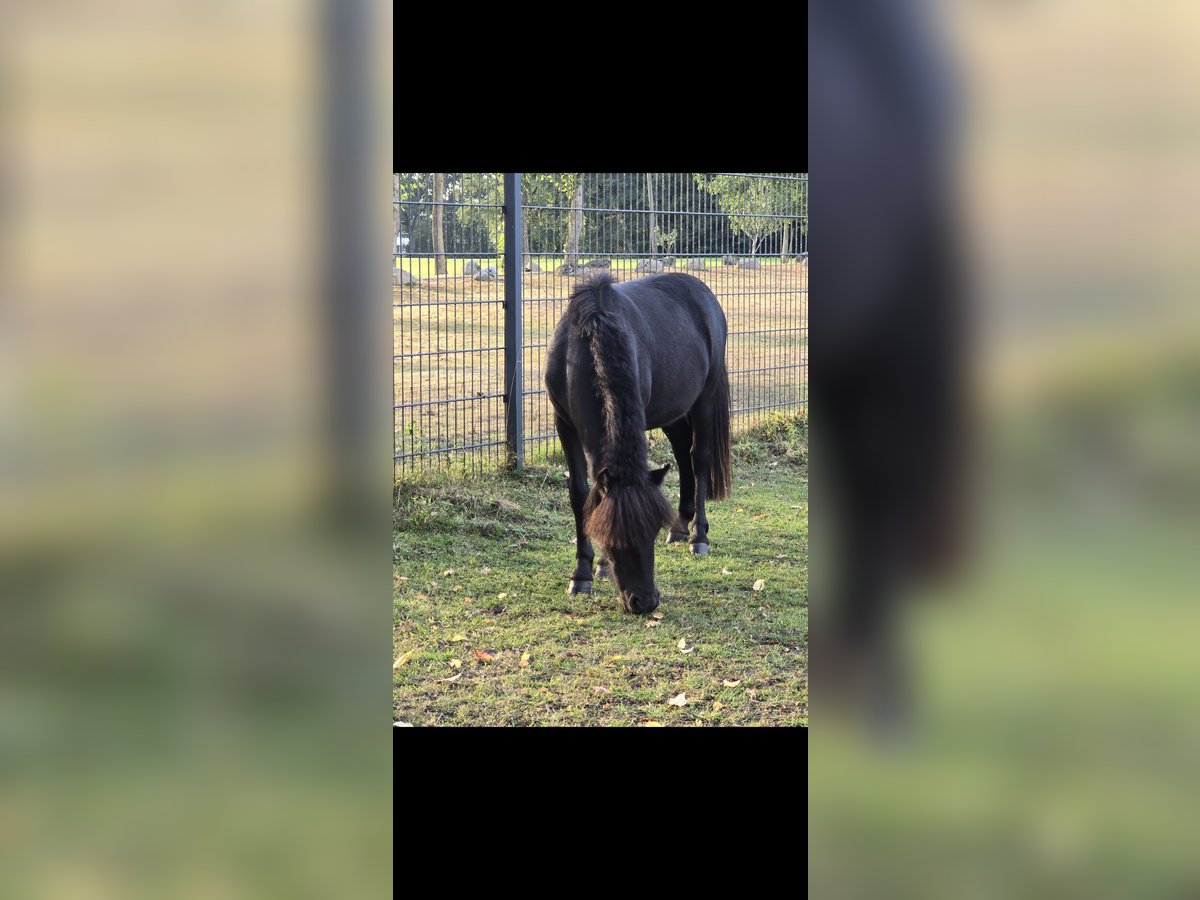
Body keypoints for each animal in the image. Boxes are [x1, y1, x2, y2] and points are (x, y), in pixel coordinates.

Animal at [544, 271, 732, 615]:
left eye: (651, 531)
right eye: (613, 534)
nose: (644, 601)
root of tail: (703, 292)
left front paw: (597, 567)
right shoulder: (564, 423)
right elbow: (581, 493)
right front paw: (584, 573)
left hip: (705, 398)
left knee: (698, 459)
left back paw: (698, 536)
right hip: (673, 410)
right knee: (682, 455)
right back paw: (680, 526)